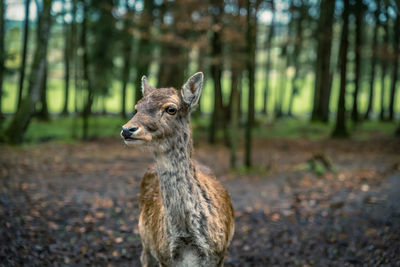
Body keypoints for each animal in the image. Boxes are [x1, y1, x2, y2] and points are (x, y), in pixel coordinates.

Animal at [121, 72, 234, 266]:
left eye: (171, 109)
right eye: (136, 108)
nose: (127, 129)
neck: (187, 243)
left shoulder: (219, 255)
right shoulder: (163, 257)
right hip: (145, 244)